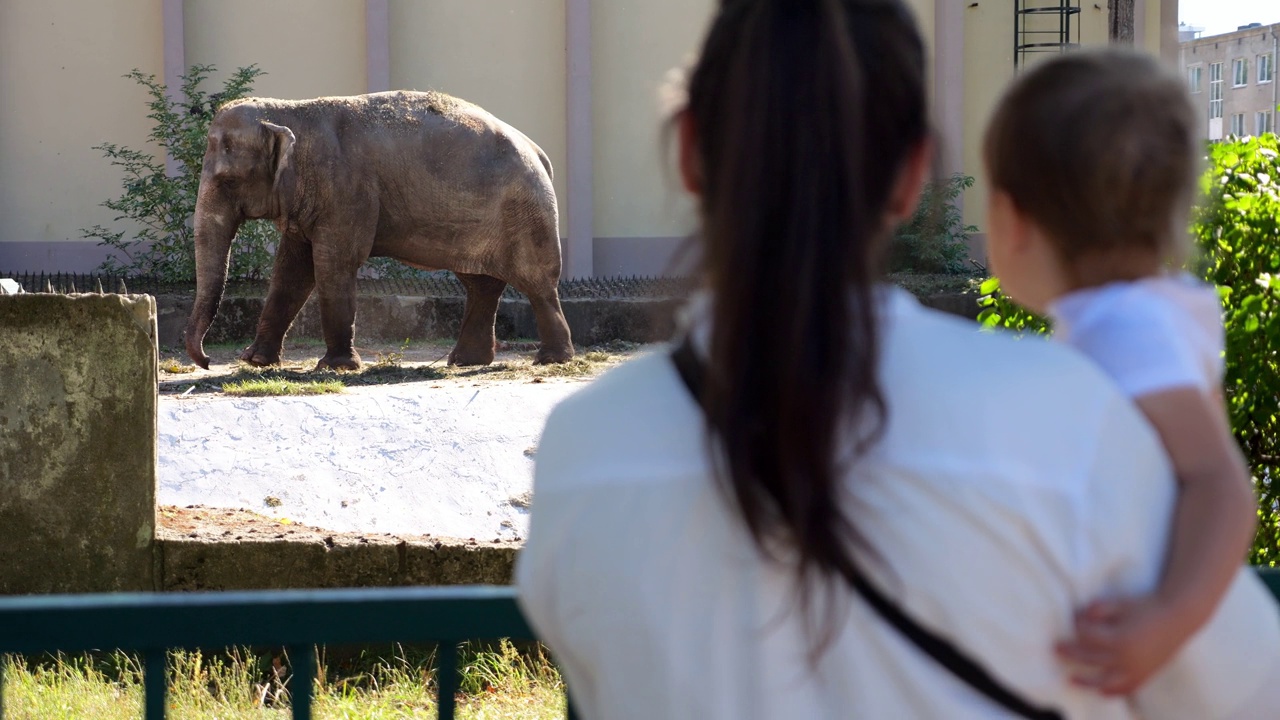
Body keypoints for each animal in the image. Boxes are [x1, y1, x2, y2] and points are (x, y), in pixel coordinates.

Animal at [183, 89, 573, 368]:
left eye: (228, 181)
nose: (207, 361)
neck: (289, 110)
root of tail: (538, 152)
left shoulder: (347, 189)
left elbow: (333, 264)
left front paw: (336, 367)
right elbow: (291, 271)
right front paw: (255, 362)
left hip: (526, 211)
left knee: (536, 282)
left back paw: (551, 359)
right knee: (481, 284)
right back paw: (465, 361)